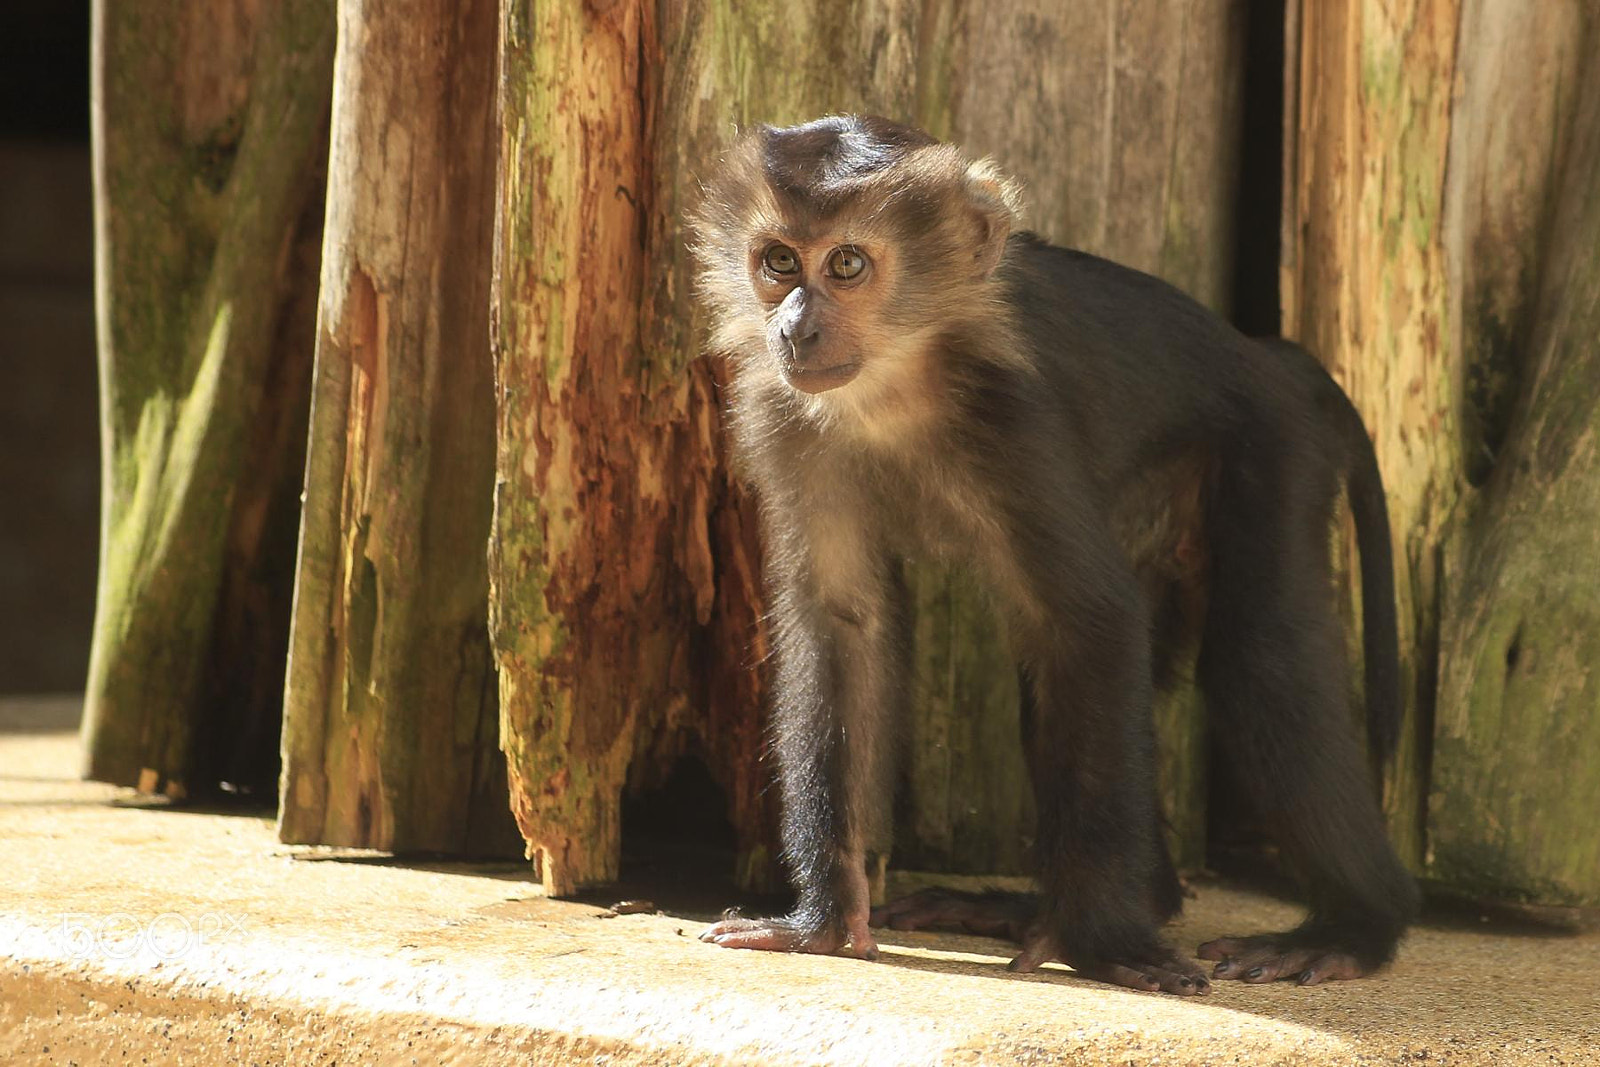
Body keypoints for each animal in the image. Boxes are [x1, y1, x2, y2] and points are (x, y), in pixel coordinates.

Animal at [684, 112, 1414, 998]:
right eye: (780, 261)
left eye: (847, 264)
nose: (793, 327)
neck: (896, 383)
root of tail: (1263, 355)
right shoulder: (782, 416)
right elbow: (842, 625)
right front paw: (824, 918)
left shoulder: (1015, 418)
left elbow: (1090, 621)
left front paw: (1097, 939)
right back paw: (1101, 898)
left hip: (1275, 449)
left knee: (1261, 658)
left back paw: (1354, 924)